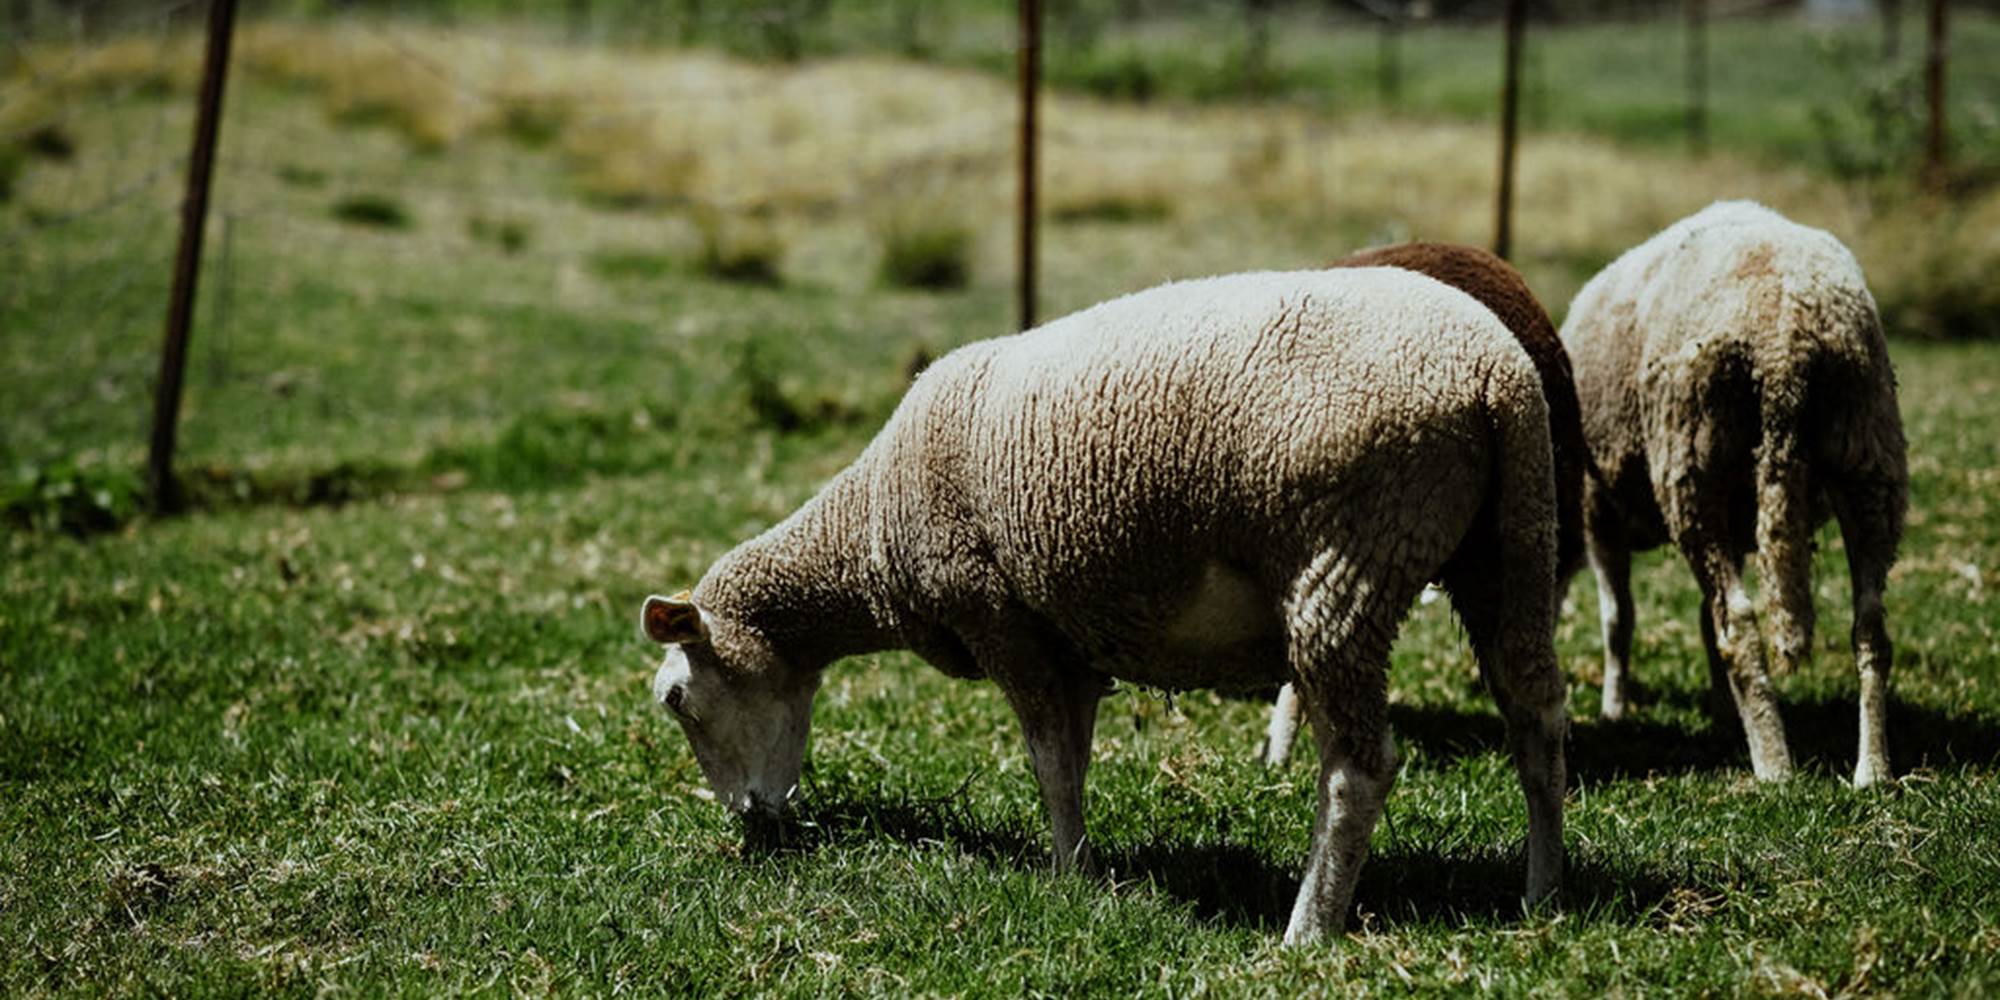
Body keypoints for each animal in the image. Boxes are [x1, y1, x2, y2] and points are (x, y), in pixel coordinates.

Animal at [641, 268, 1568, 945]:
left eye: (677, 700)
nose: (752, 822)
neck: (869, 528)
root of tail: (1494, 375)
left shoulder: (999, 617)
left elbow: (1048, 760)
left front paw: (1070, 877)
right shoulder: (1067, 642)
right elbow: (1074, 757)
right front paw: (1083, 863)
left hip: (1346, 560)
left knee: (1360, 767)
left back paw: (1309, 928)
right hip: (1514, 546)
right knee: (1537, 718)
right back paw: (1544, 897)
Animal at [1560, 200, 1907, 786]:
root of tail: (1786, 341)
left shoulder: (1595, 509)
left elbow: (1618, 619)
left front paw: (1614, 708)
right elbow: (1700, 617)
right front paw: (1723, 709)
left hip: (1692, 462)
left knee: (1738, 624)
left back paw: (1773, 765)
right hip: (1869, 450)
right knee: (1870, 626)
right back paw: (1872, 768)